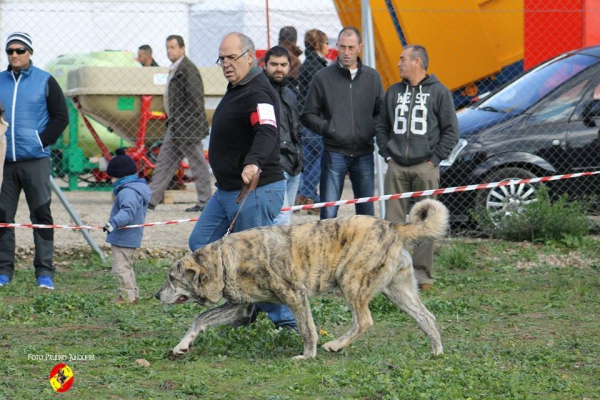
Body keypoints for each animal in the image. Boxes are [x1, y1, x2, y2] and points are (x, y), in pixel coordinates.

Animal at [157, 200, 448, 360]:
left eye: (172, 278)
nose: (156, 295)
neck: (224, 259)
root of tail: (393, 227)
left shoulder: (294, 295)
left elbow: (308, 329)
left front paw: (307, 355)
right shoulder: (239, 307)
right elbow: (200, 319)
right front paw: (181, 346)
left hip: (352, 283)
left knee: (364, 321)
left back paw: (335, 345)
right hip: (399, 292)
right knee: (428, 317)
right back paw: (436, 352)